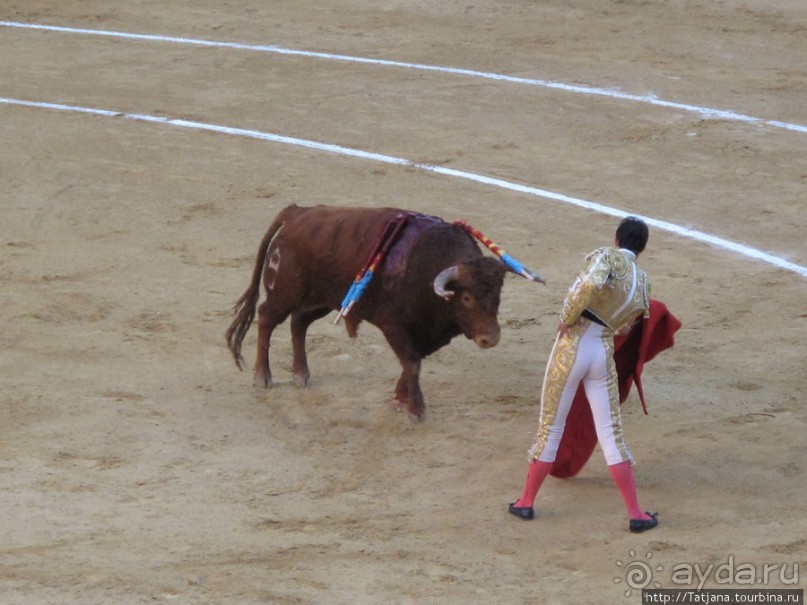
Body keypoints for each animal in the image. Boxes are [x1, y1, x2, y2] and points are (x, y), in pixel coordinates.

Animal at [227, 205, 516, 418]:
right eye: (466, 298)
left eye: (498, 296)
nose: (490, 338)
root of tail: (297, 212)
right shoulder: (393, 325)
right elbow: (412, 362)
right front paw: (416, 410)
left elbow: (411, 363)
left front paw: (400, 400)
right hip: (285, 294)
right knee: (266, 318)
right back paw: (262, 377)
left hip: (324, 300)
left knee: (298, 322)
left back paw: (301, 374)